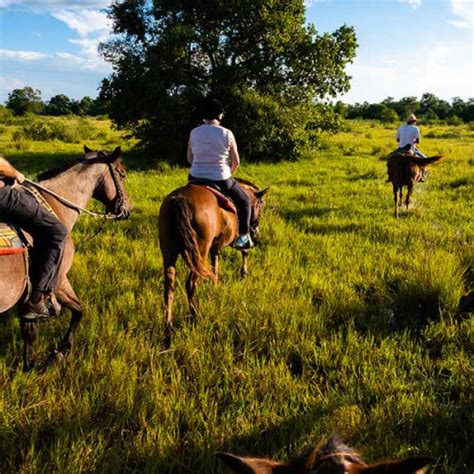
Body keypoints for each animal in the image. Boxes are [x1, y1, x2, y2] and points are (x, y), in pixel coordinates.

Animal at [0, 145, 131, 370]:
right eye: (122, 174)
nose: (128, 209)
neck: (57, 205)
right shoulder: (58, 281)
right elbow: (79, 310)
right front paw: (61, 351)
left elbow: (28, 331)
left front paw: (30, 366)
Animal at [159, 180, 268, 346]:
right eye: (260, 205)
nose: (256, 228)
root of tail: (179, 199)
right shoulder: (234, 238)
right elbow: (244, 251)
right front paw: (243, 273)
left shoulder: (215, 246)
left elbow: (215, 266)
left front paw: (216, 286)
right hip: (200, 251)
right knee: (190, 284)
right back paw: (195, 316)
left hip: (169, 252)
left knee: (169, 289)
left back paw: (168, 332)